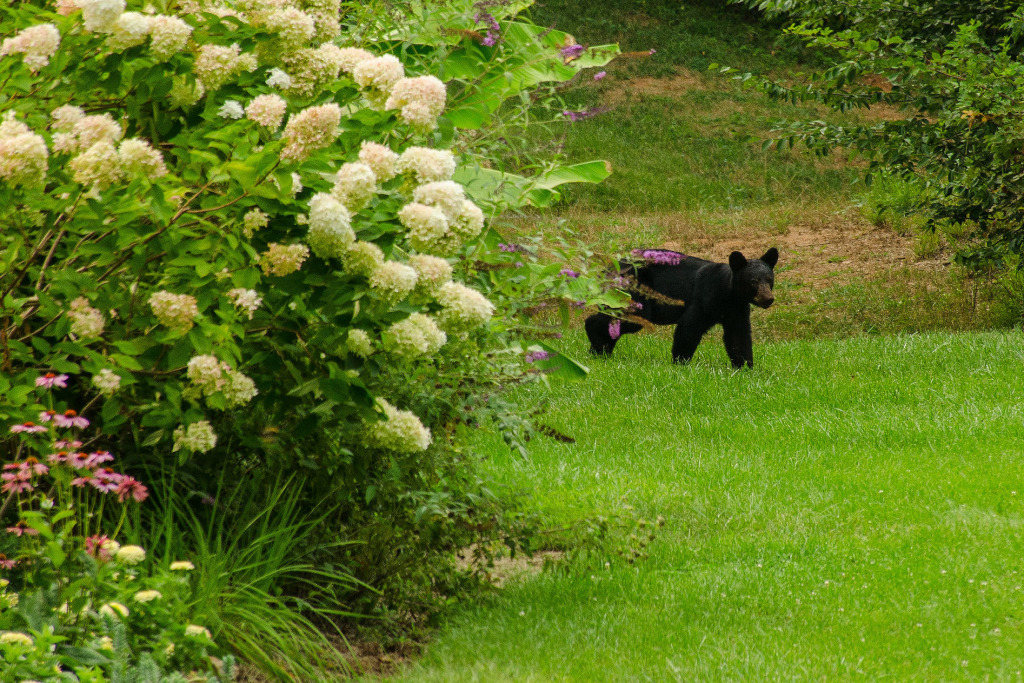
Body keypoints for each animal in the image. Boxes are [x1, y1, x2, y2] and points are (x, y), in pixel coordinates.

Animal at [585, 248, 774, 368]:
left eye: (769, 279)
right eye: (753, 281)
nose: (769, 299)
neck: (728, 293)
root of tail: (608, 269)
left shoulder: (736, 309)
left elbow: (738, 336)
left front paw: (745, 367)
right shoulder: (705, 297)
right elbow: (690, 326)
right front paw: (680, 362)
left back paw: (601, 350)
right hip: (634, 287)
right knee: (630, 317)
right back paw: (596, 340)